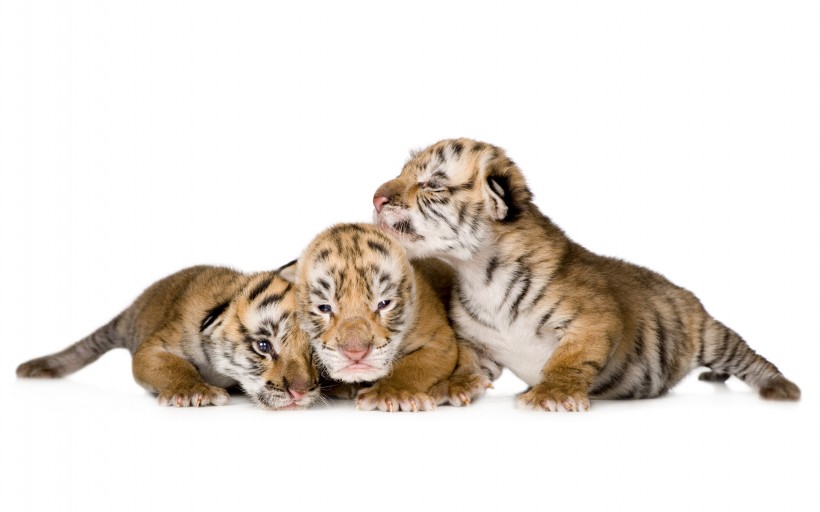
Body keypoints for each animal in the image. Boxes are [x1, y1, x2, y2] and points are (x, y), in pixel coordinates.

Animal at [16, 265, 321, 410]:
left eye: (314, 354)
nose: (300, 392)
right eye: (263, 346)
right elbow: (173, 366)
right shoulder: (152, 349)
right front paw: (192, 391)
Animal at [280, 223, 488, 412]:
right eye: (324, 308)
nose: (355, 352)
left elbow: (413, 365)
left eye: (384, 304)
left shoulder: (440, 339)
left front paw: (393, 393)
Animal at [372, 138, 800, 411]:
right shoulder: (477, 344)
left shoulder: (594, 321)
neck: (479, 273)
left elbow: (570, 360)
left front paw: (551, 394)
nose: (376, 197)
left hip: (712, 335)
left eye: (432, 184)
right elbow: (465, 364)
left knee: (750, 358)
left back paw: (782, 388)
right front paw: (448, 387)